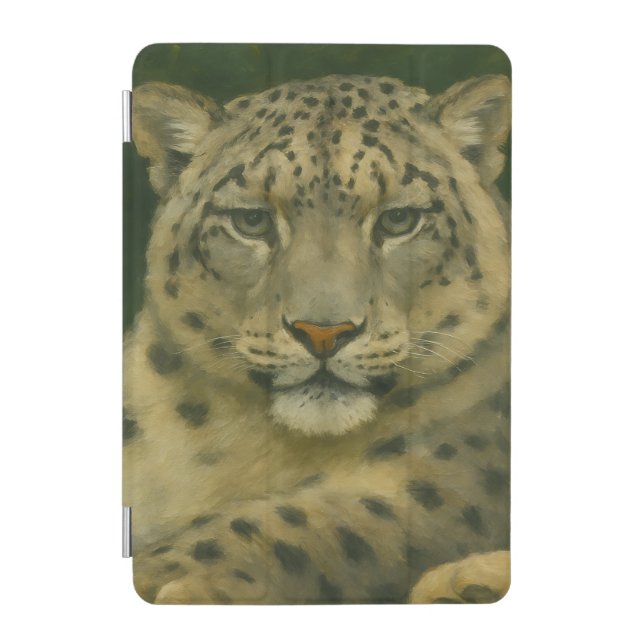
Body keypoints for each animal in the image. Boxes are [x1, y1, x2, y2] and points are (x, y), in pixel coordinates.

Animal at [123, 73, 511, 604]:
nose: (324, 332)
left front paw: (166, 578)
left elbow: (305, 523)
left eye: (398, 219)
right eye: (251, 221)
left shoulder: (444, 481)